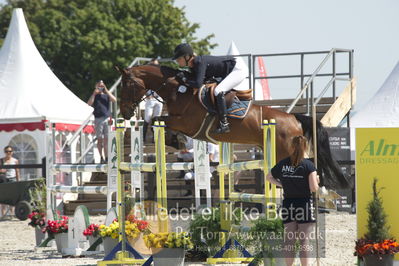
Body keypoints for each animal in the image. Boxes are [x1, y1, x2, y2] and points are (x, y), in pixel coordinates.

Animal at [118, 64, 350, 189]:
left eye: (127, 85)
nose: (124, 113)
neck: (180, 90)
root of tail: (293, 117)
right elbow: (159, 122)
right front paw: (175, 141)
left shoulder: (187, 123)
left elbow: (157, 120)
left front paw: (177, 141)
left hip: (283, 152)